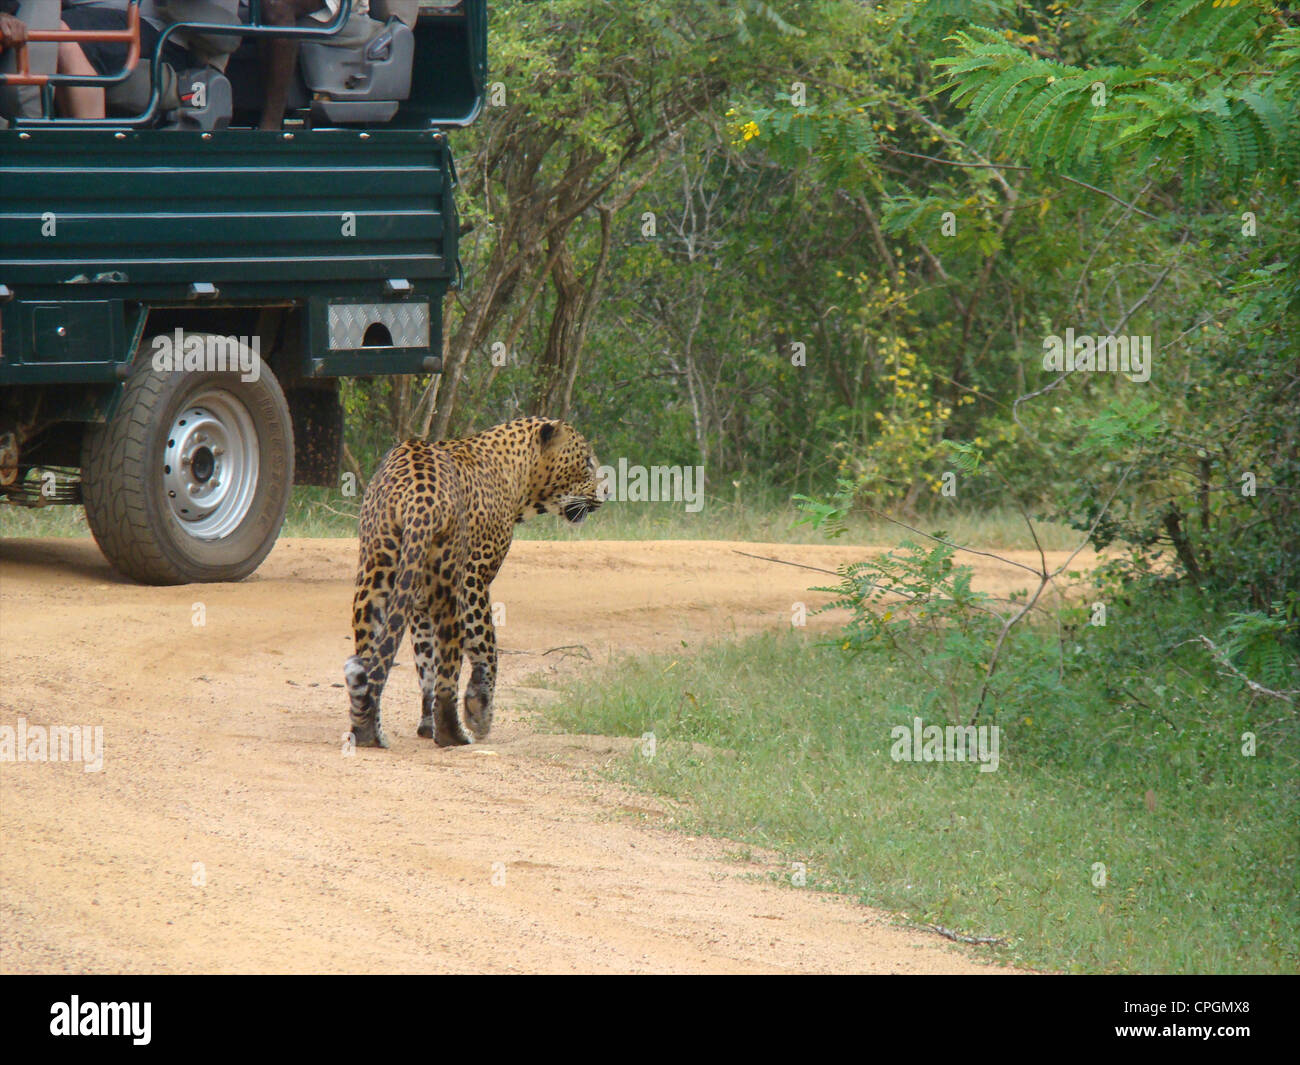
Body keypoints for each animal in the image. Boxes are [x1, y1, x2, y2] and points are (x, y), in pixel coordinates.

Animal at [348, 416, 605, 749]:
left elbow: (424, 662)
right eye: (586, 461)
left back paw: (368, 730)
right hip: (450, 586)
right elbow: (486, 648)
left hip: (375, 574)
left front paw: (426, 724)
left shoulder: (417, 602)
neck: (516, 478)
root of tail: (419, 497)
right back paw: (454, 734)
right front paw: (479, 710)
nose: (605, 494)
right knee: (449, 665)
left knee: (371, 654)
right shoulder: (475, 578)